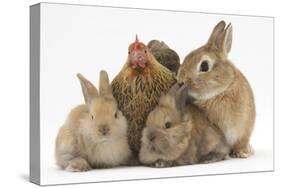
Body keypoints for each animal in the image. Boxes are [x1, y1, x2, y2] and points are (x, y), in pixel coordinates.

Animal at [178, 20, 255, 159]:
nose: (180, 81)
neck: (220, 92)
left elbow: (241, 142)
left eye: (204, 66)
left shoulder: (243, 130)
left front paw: (242, 153)